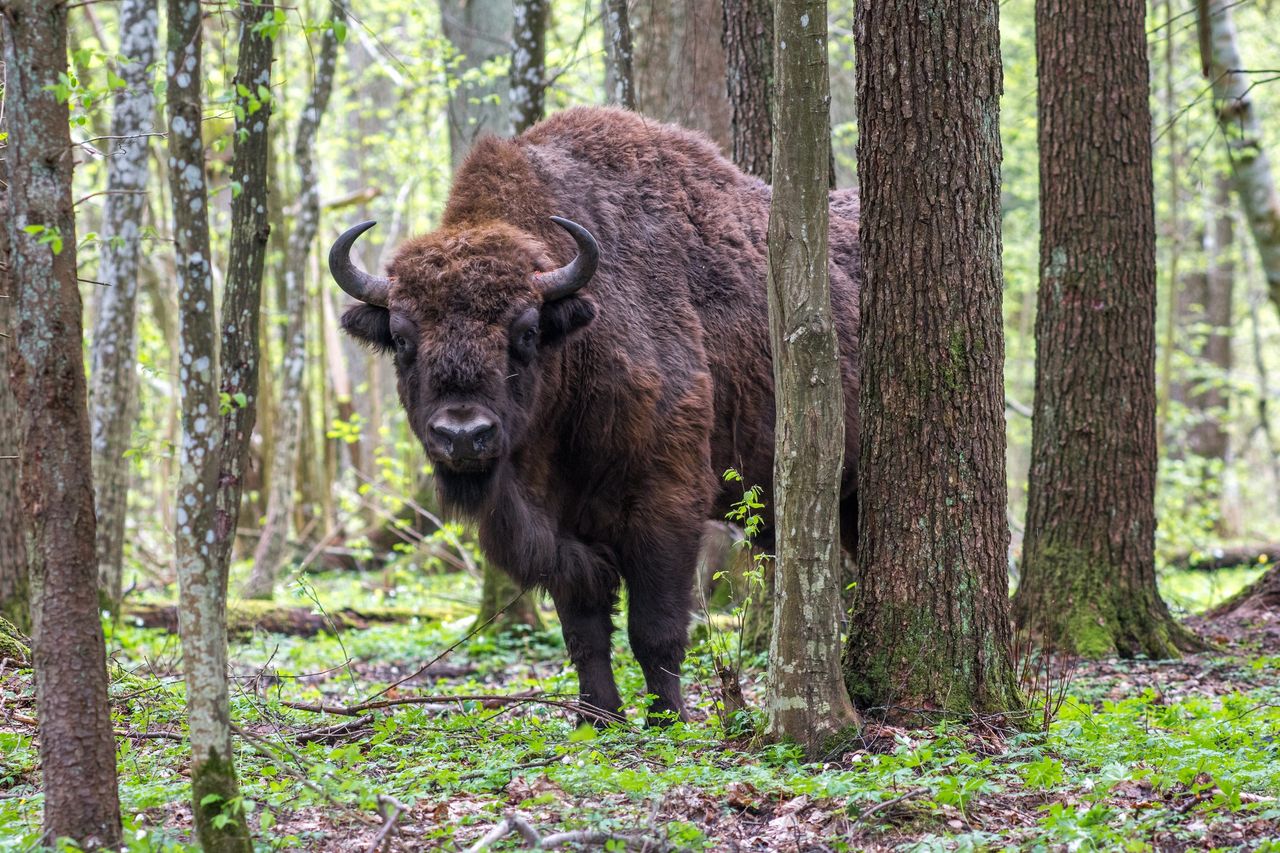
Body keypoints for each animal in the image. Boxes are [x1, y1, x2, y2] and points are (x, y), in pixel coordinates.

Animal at [332, 103, 860, 722]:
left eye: (526, 332)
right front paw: (599, 717)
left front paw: (668, 719)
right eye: (401, 338)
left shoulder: (666, 505)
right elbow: (584, 632)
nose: (463, 436)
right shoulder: (561, 533)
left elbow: (655, 629)